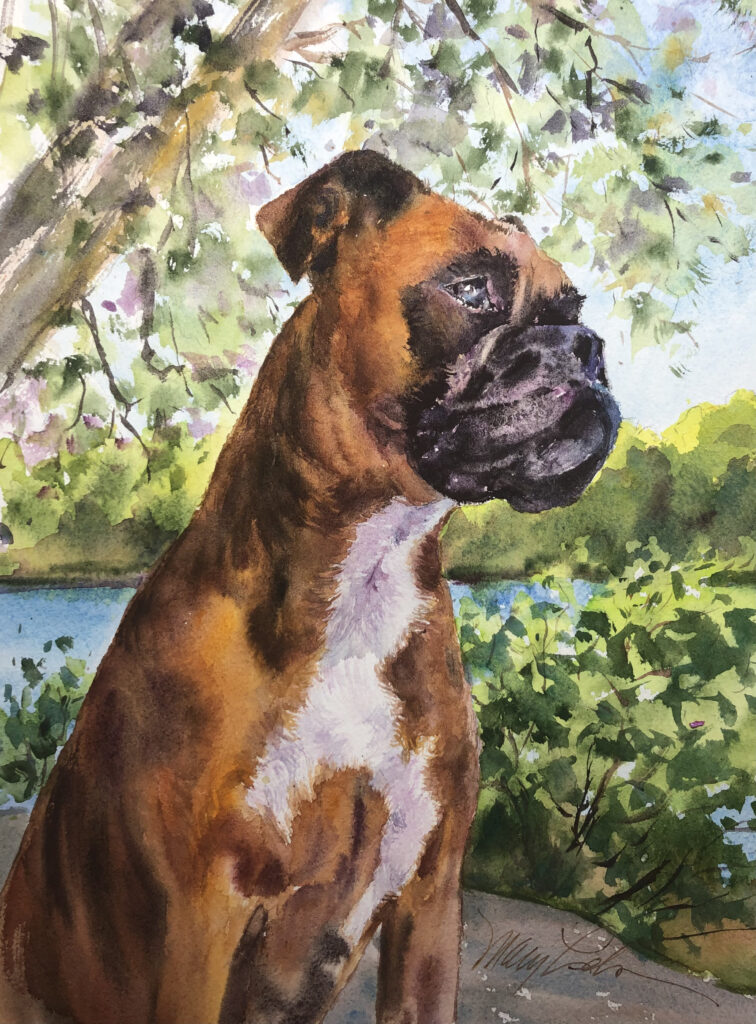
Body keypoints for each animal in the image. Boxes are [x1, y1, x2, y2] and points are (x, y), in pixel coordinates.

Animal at [0, 150, 619, 1024]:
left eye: (574, 308)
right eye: (470, 290)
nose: (585, 348)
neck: (365, 577)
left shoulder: (430, 903)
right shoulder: (205, 921)